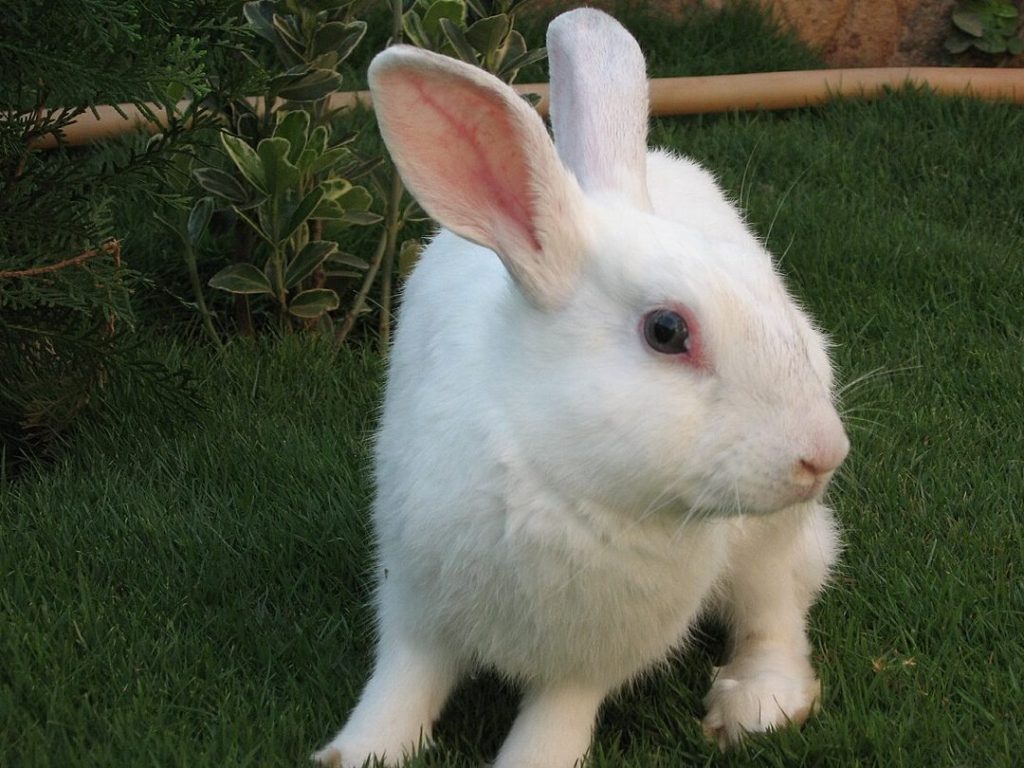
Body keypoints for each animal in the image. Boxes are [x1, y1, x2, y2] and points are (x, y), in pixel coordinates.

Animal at [314, 8, 849, 768]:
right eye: (665, 331)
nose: (824, 454)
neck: (557, 478)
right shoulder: (413, 603)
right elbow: (401, 686)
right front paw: (356, 752)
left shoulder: (589, 660)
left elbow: (556, 718)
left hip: (770, 539)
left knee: (776, 606)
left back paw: (755, 702)